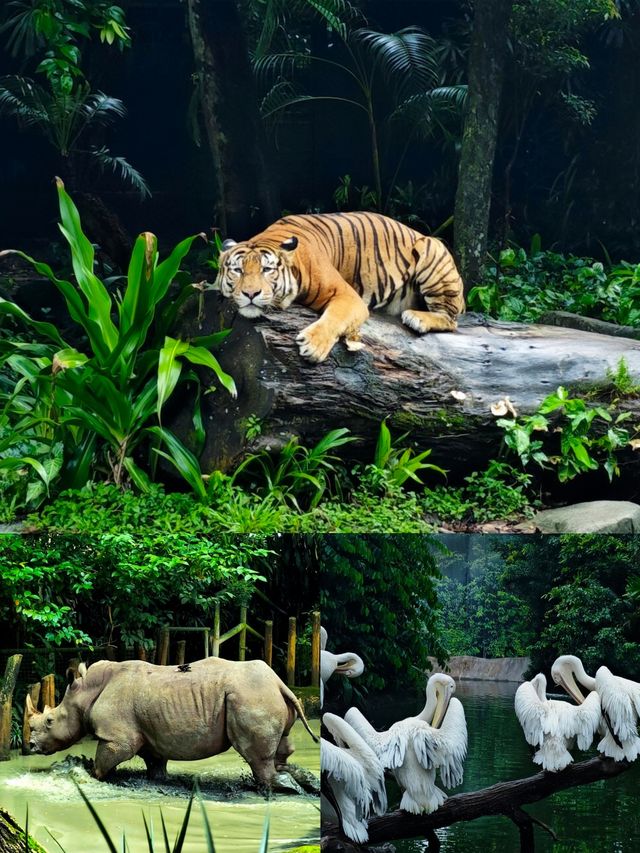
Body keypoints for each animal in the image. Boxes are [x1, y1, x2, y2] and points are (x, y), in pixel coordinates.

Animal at [216, 212, 464, 362]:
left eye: (266, 270)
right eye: (237, 270)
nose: (250, 293)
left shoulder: (347, 295)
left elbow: (334, 317)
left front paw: (313, 346)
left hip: (433, 249)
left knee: (451, 320)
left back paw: (417, 318)